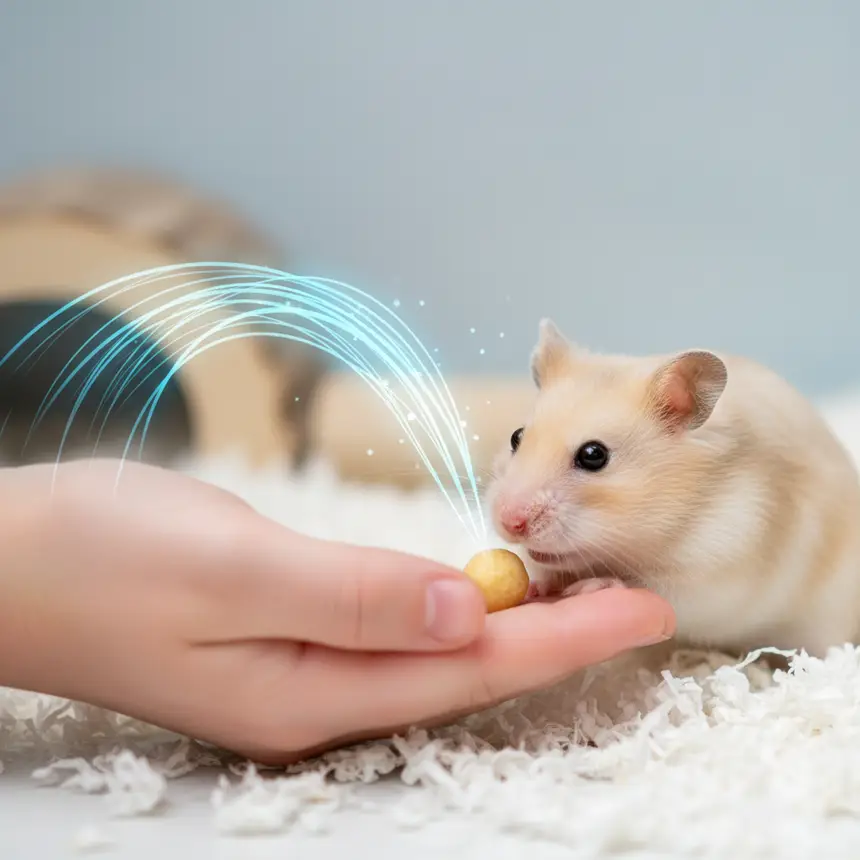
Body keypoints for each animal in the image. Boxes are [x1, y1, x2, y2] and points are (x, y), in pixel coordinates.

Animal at [486, 319, 860, 658]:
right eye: (516, 437)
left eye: (594, 455)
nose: (510, 523)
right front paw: (537, 586)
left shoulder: (714, 572)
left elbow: (648, 585)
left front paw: (593, 584)